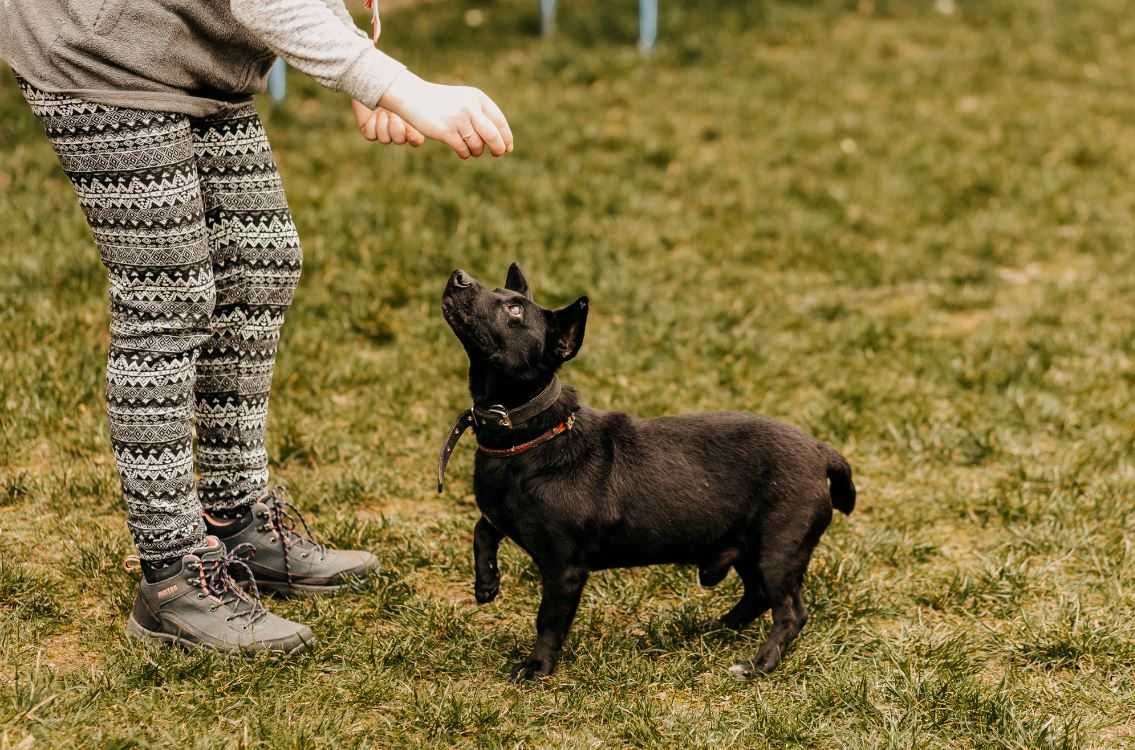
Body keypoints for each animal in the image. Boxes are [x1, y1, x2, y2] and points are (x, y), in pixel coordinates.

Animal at [438, 264, 853, 680]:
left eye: (515, 310)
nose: (458, 276)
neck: (524, 432)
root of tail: (822, 452)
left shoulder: (564, 570)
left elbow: (549, 621)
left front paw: (537, 667)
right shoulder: (500, 516)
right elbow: (482, 530)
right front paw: (486, 583)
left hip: (778, 550)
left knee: (789, 612)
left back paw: (758, 664)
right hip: (747, 547)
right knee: (757, 595)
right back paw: (714, 629)